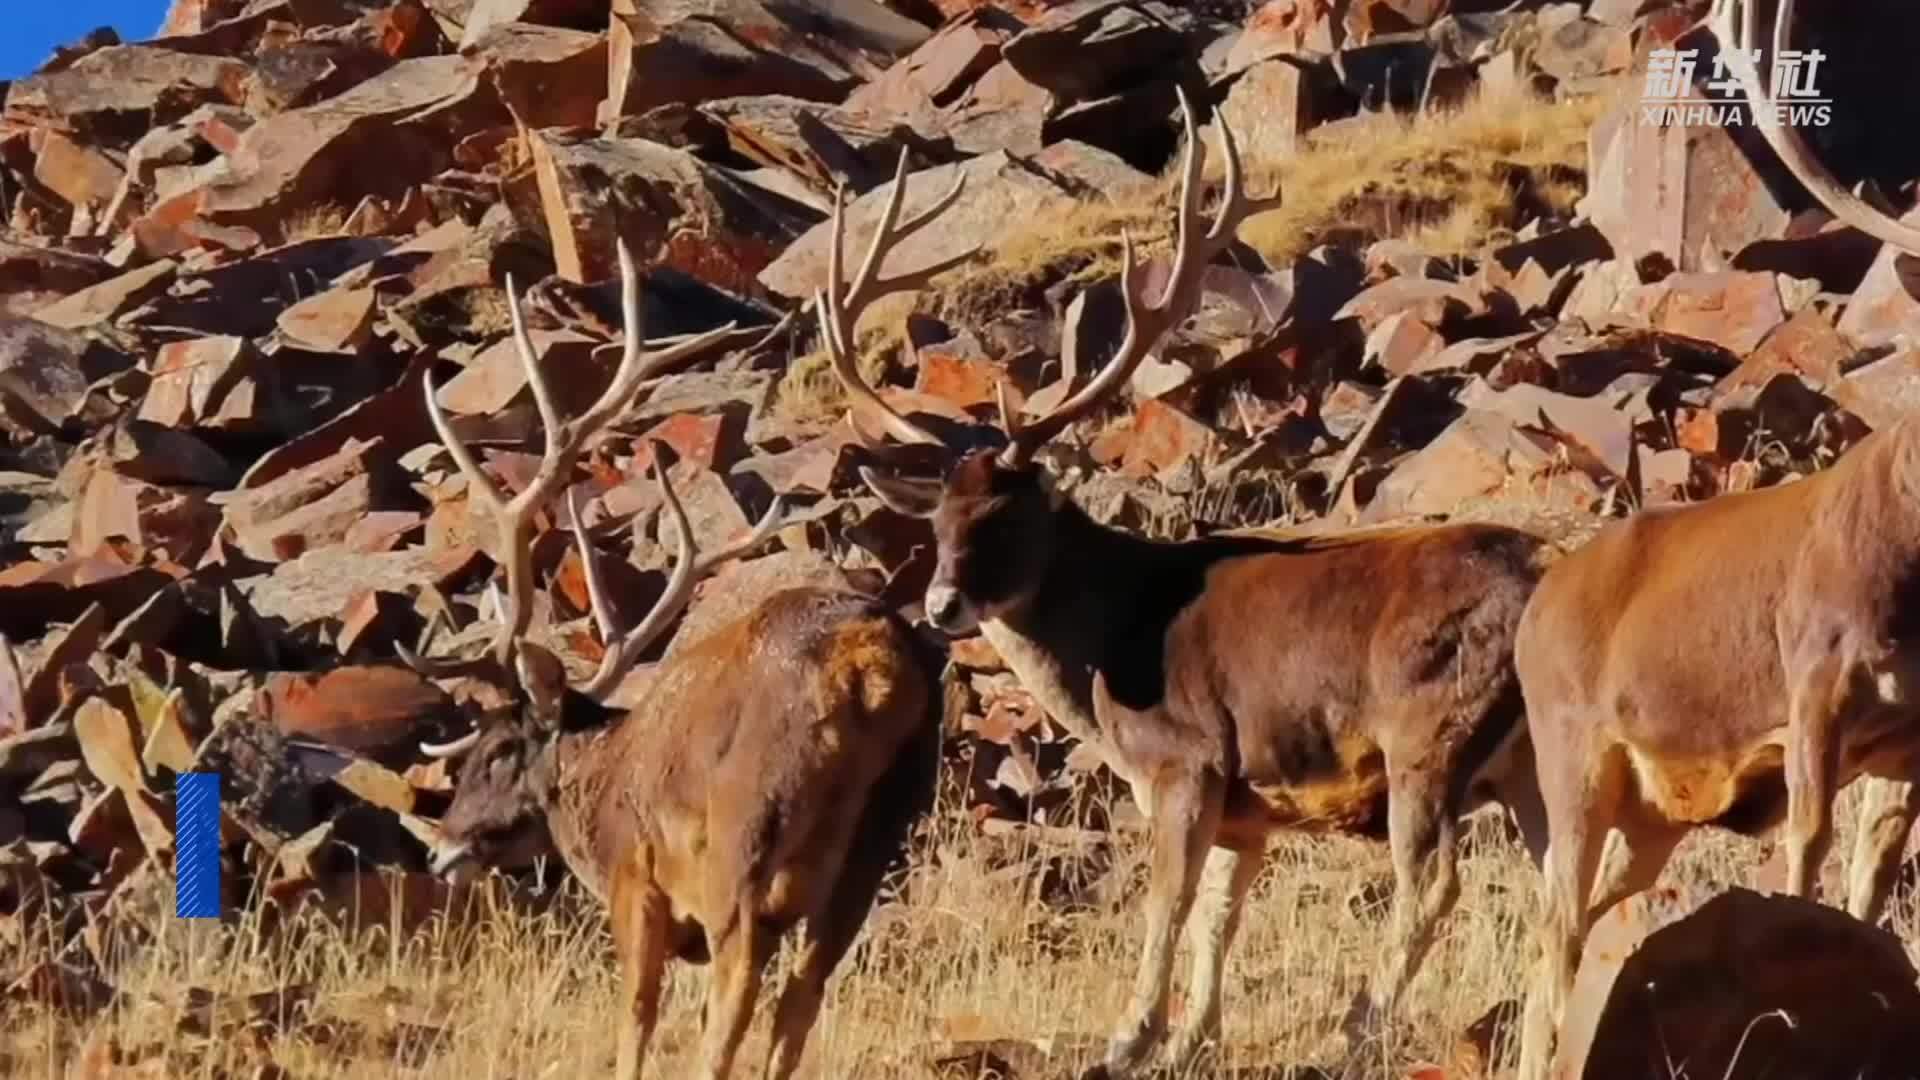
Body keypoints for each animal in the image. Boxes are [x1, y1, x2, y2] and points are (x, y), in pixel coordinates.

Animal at [405, 242, 944, 1076]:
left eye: (496, 750)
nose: (442, 850)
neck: (597, 780)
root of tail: (869, 667)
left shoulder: (639, 881)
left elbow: (637, 1016)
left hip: (747, 840)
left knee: (736, 998)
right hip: (874, 842)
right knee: (802, 996)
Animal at [817, 88, 1551, 1068]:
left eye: (1005, 516)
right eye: (935, 525)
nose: (941, 604)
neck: (1107, 641)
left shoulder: (1188, 758)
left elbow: (1166, 902)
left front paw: (1129, 1037)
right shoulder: (1251, 803)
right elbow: (1217, 916)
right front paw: (1190, 1037)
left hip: (1427, 725)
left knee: (1431, 884)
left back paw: (1354, 1033)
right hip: (1531, 759)